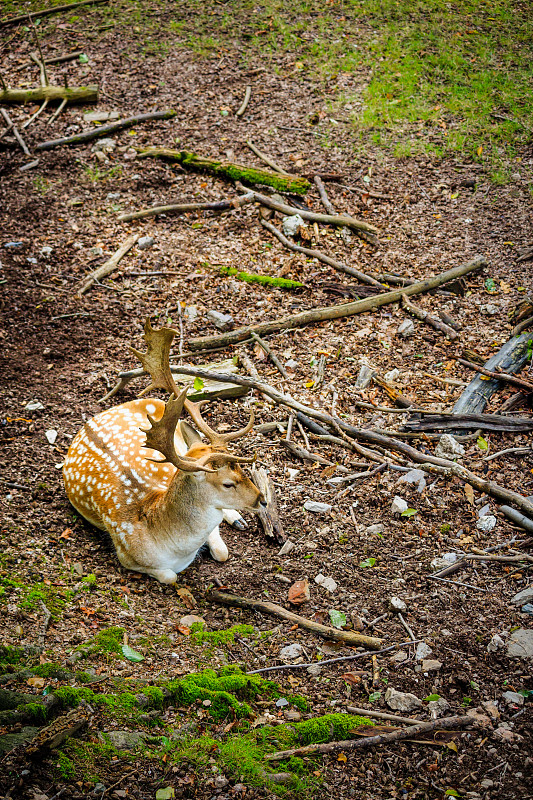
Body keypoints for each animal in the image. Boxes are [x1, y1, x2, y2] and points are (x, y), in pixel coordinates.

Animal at [63, 316, 264, 584]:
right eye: (228, 484)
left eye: (243, 470)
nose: (262, 500)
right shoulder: (126, 556)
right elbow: (171, 576)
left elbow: (222, 551)